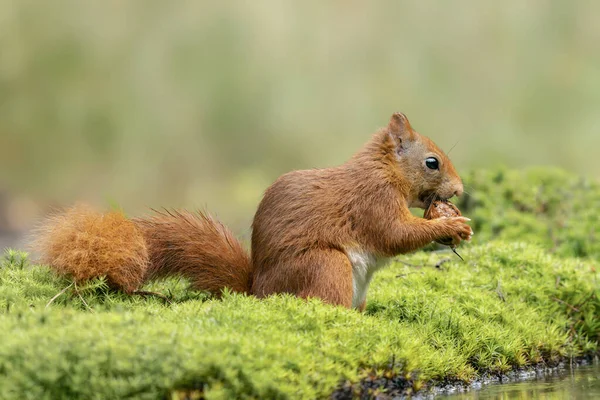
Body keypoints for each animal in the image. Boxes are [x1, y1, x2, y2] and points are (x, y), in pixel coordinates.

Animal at [35, 112, 472, 310]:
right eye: (432, 162)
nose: (459, 191)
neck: (385, 172)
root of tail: (258, 292)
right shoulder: (373, 201)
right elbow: (394, 235)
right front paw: (449, 226)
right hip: (325, 265)